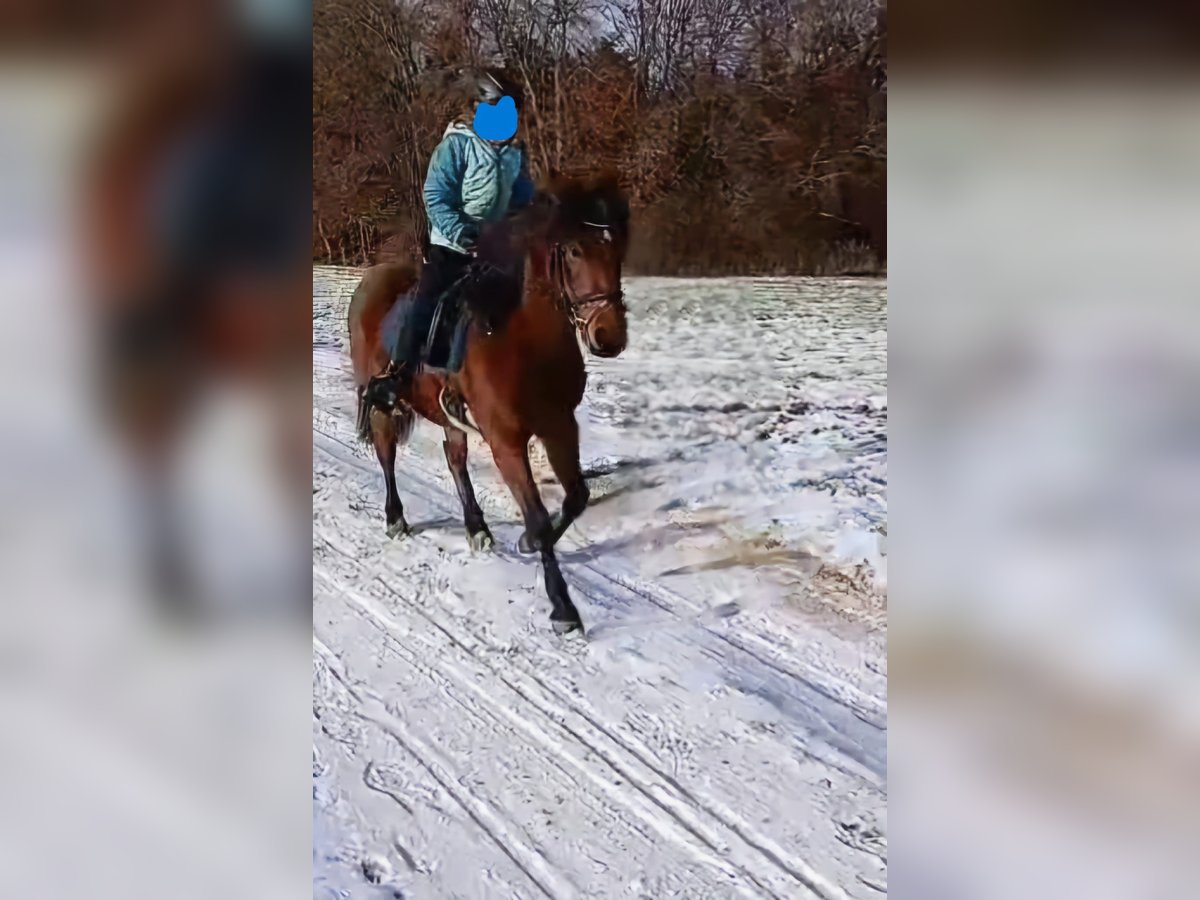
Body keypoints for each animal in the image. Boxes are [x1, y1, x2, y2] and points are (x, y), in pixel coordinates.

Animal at [347, 174, 630, 634]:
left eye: (616, 246)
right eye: (574, 250)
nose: (608, 336)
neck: (522, 338)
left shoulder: (560, 425)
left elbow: (576, 497)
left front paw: (529, 542)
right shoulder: (505, 439)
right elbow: (537, 514)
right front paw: (562, 607)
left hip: (448, 415)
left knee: (455, 459)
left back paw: (476, 527)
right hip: (383, 404)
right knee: (387, 454)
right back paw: (396, 519)